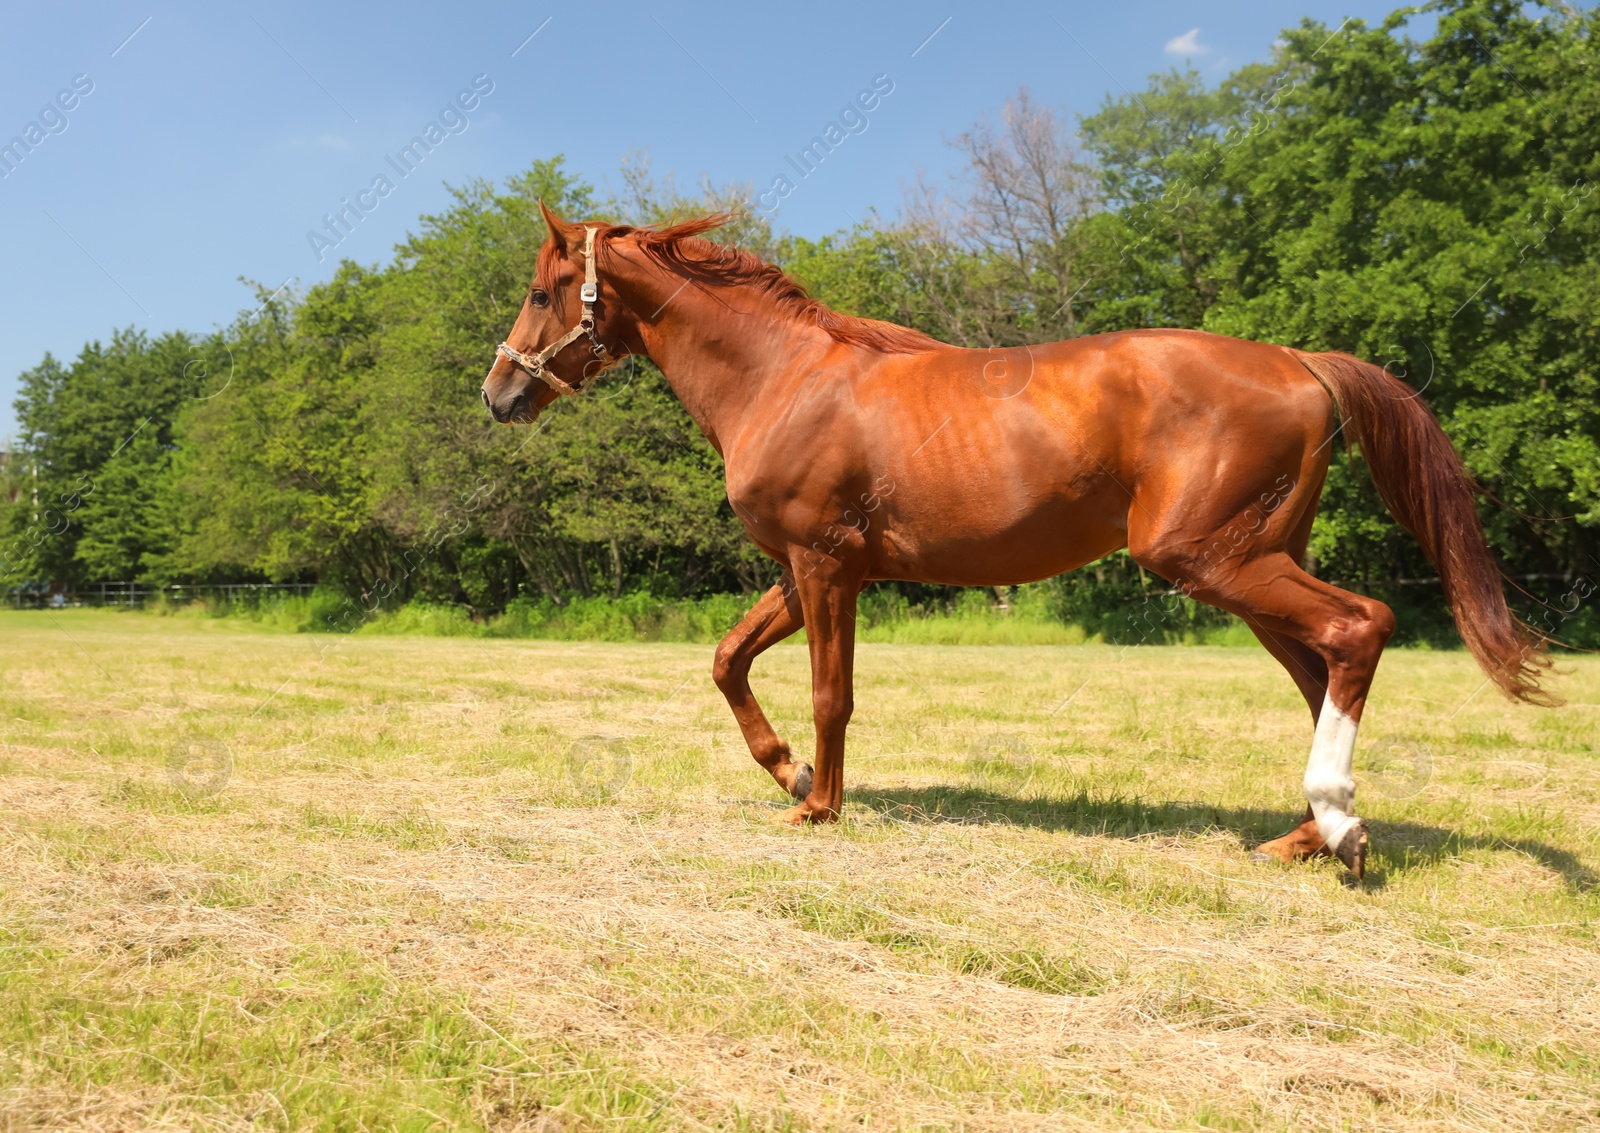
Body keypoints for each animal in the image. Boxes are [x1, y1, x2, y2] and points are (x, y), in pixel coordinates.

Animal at [476, 208, 1548, 883]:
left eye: (543, 288)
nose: (499, 394)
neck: (785, 375)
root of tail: (1301, 362)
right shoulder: (811, 569)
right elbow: (727, 659)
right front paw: (789, 771)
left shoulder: (825, 565)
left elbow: (831, 693)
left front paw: (817, 805)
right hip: (1251, 568)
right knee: (1324, 667)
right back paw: (1307, 836)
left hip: (1210, 561)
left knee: (1361, 627)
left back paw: (1342, 822)